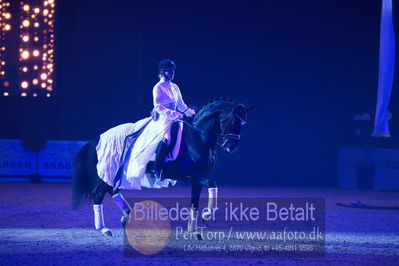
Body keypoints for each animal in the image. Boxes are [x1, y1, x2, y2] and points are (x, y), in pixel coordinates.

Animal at [72, 98, 247, 239]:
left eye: (243, 124)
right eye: (233, 121)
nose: (232, 147)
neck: (197, 138)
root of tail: (97, 138)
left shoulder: (198, 177)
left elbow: (195, 202)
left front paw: (193, 231)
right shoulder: (183, 174)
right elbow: (212, 183)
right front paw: (207, 215)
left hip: (116, 174)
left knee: (113, 190)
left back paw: (127, 216)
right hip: (109, 170)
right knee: (98, 194)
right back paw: (104, 229)